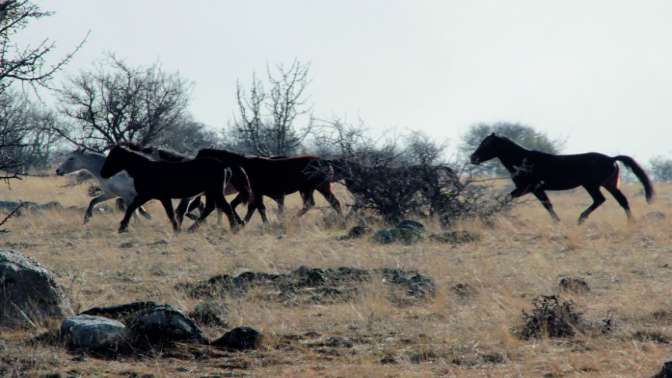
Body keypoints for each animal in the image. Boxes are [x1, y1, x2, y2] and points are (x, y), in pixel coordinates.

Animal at [470, 133, 652, 223]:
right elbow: (546, 204)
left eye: (487, 144)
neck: (523, 160)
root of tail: (612, 159)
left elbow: (545, 205)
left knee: (601, 199)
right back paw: (630, 222)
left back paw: (581, 219)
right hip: (609, 185)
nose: (473, 158)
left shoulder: (531, 188)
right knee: (621, 200)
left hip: (592, 185)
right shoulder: (530, 189)